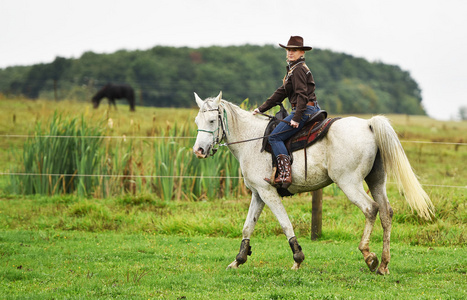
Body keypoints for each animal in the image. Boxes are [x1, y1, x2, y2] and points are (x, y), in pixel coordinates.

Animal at [192, 91, 434, 274]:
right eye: (197, 121)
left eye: (212, 121)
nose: (199, 151)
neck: (252, 140)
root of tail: (368, 125)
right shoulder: (258, 194)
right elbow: (247, 226)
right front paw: (238, 260)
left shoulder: (268, 192)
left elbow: (285, 224)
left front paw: (298, 258)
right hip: (376, 182)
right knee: (386, 213)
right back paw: (383, 264)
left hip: (349, 183)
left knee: (370, 209)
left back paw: (369, 256)